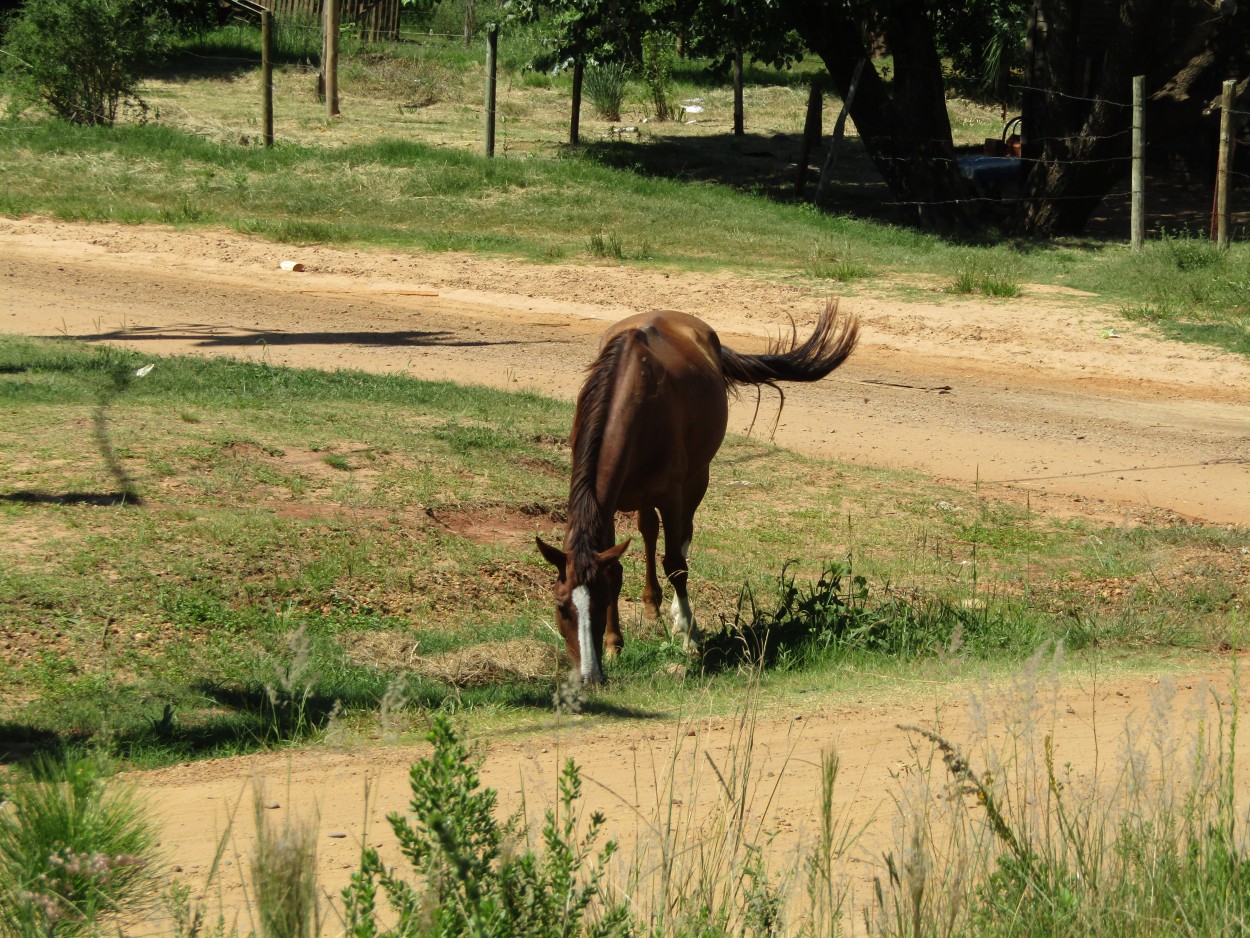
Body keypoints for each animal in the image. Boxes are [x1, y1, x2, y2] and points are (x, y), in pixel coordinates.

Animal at [537, 305, 860, 685]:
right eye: (561, 606)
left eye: (598, 603)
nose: (588, 676)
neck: (633, 391)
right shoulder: (608, 503)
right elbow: (616, 566)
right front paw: (615, 645)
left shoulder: (673, 494)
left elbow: (676, 564)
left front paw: (689, 636)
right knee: (649, 531)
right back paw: (652, 606)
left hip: (696, 479)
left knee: (681, 538)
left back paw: (677, 615)